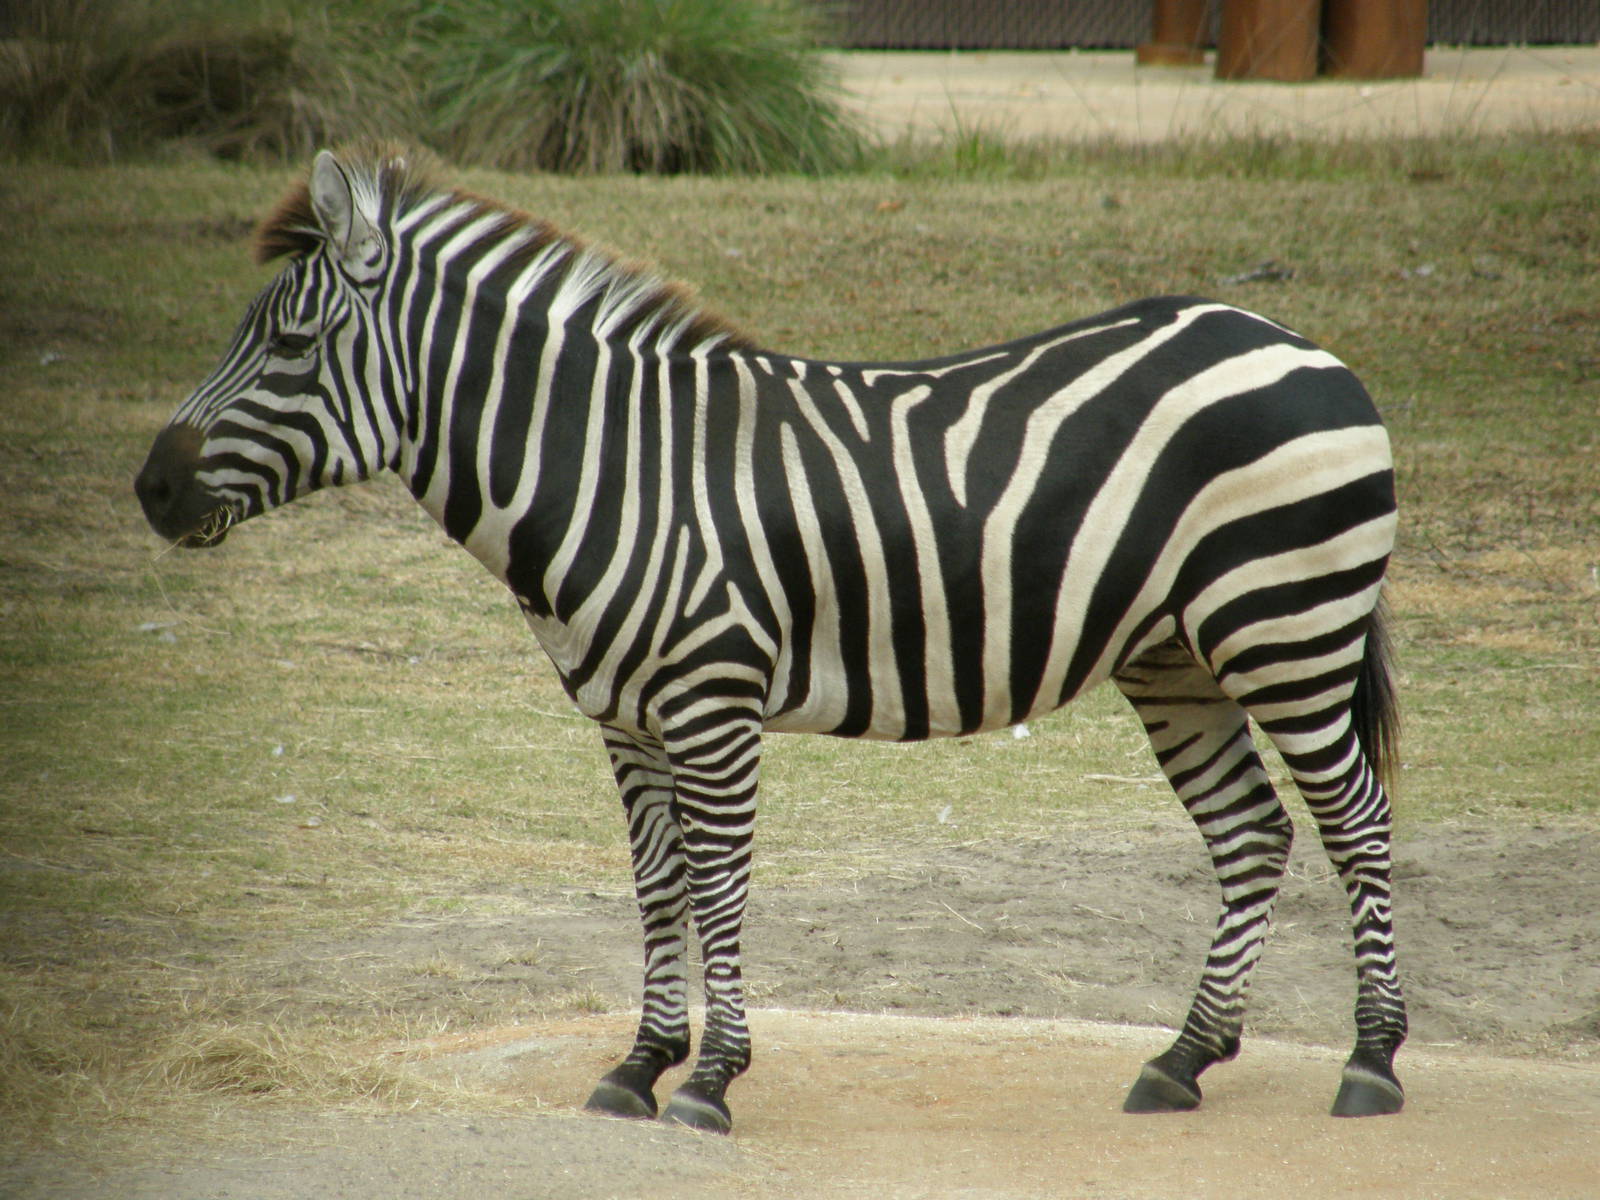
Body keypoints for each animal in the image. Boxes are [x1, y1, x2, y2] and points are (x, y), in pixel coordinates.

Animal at [136, 145, 1407, 1133]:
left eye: (290, 346)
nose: (149, 488)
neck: (617, 469)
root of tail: (1295, 341)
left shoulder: (712, 702)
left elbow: (718, 882)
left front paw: (709, 1080)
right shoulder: (625, 720)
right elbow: (657, 886)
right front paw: (640, 1066)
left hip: (1285, 630)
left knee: (1354, 822)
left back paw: (1371, 1061)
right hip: (1177, 658)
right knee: (1251, 836)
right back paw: (1183, 1060)